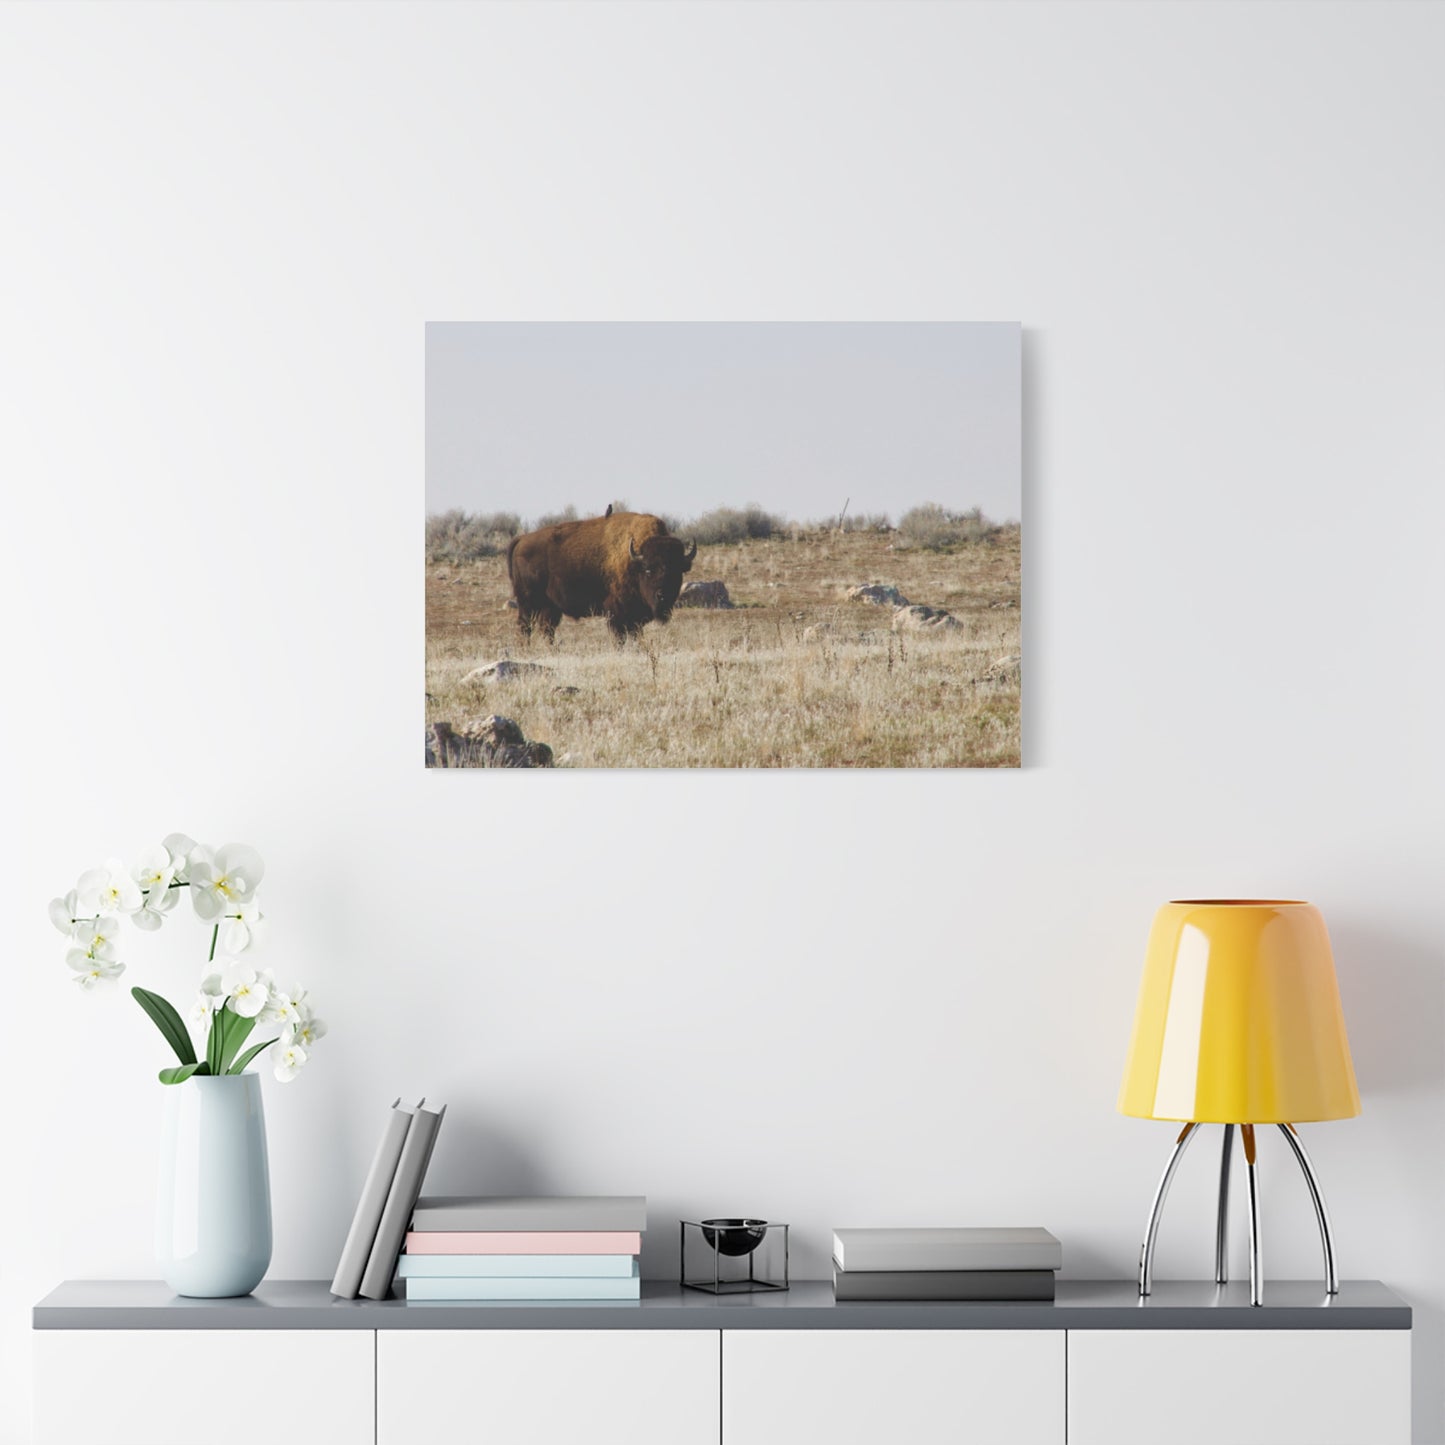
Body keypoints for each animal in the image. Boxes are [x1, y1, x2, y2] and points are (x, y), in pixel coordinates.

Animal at [506, 511, 697, 644]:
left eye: (677, 571)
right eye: (648, 570)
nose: (663, 595)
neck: (634, 560)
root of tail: (522, 539)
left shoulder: (635, 617)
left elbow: (635, 634)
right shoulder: (616, 612)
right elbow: (620, 637)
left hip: (550, 606)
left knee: (546, 628)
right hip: (528, 601)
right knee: (525, 626)